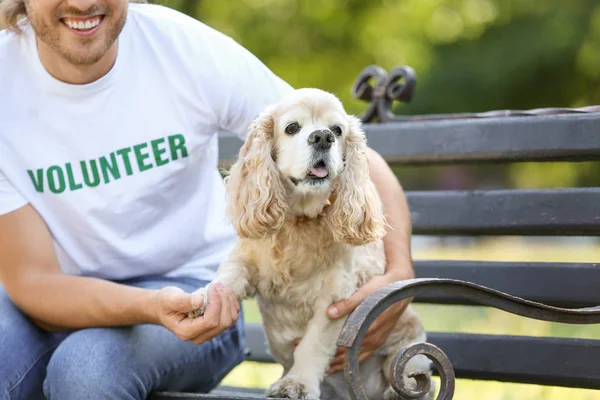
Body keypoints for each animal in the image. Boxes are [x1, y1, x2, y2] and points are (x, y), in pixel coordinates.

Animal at [190, 89, 434, 398]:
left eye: (337, 130)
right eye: (292, 127)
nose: (322, 137)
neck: (300, 221)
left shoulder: (334, 298)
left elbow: (313, 345)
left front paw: (296, 383)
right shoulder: (244, 259)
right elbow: (226, 279)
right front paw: (204, 299)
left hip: (410, 339)